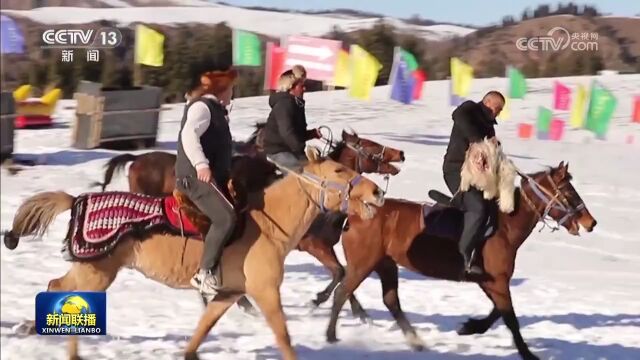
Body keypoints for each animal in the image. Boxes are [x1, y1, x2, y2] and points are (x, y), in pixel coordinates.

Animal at [3, 147, 384, 360]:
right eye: (339, 170)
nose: (377, 192)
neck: (267, 226)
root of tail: (77, 200)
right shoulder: (265, 292)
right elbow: (284, 337)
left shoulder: (228, 294)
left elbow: (202, 329)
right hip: (96, 273)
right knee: (65, 296)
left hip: (90, 271)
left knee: (55, 287)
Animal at [328, 163, 596, 360]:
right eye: (569, 192)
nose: (591, 222)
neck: (504, 227)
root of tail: (355, 214)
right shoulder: (497, 282)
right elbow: (510, 318)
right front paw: (528, 354)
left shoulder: (490, 282)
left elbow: (497, 313)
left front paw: (471, 327)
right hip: (363, 264)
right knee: (342, 293)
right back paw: (331, 336)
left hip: (386, 264)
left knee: (390, 300)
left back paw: (416, 341)